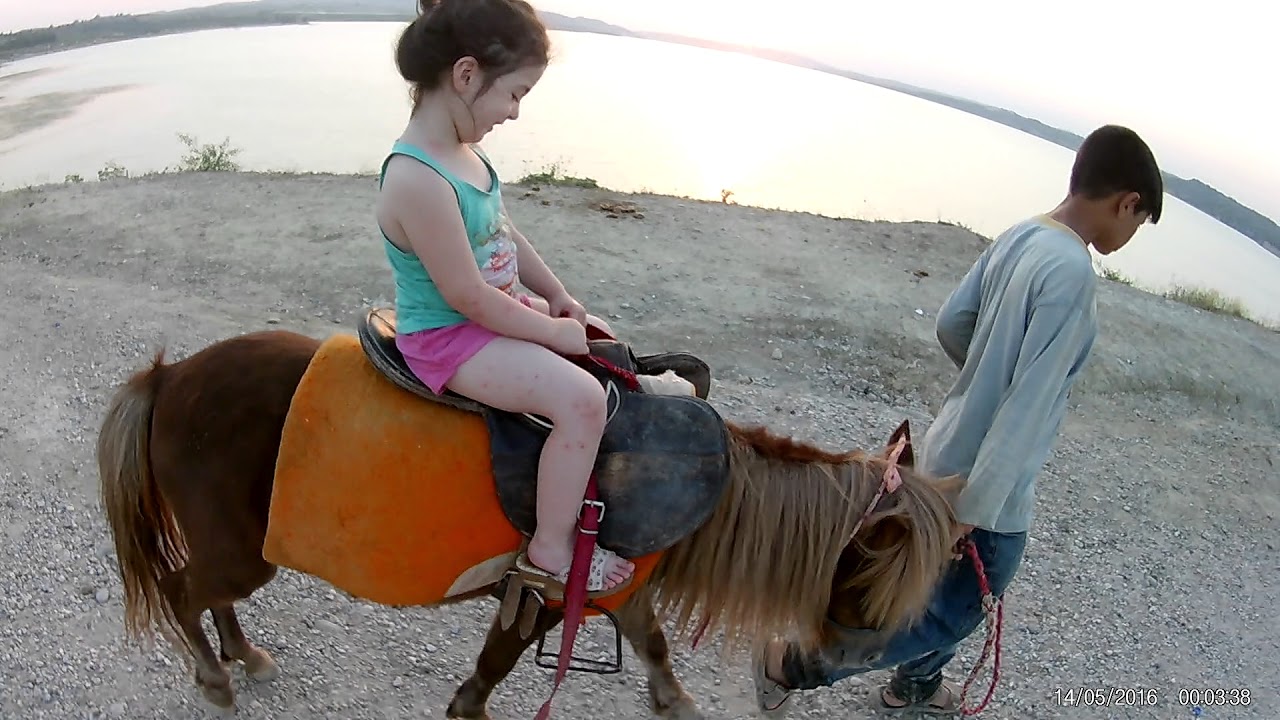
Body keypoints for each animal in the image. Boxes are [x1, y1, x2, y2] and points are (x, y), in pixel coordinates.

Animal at [95, 317, 966, 718]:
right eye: (880, 565)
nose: (856, 648)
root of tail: (172, 377)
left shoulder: (619, 591)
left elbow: (652, 645)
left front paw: (675, 701)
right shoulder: (541, 593)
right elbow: (491, 671)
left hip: (240, 544)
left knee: (211, 596)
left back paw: (243, 656)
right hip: (238, 547)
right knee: (183, 591)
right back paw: (215, 673)